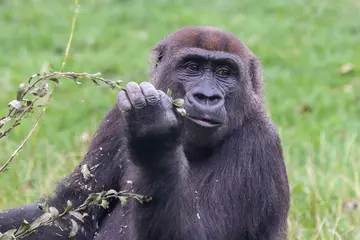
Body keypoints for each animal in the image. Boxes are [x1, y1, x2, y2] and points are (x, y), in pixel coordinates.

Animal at [0, 26, 290, 240]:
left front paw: (154, 136)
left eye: (224, 72)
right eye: (193, 67)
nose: (207, 97)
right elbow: (67, 215)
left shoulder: (259, 145)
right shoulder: (116, 117)